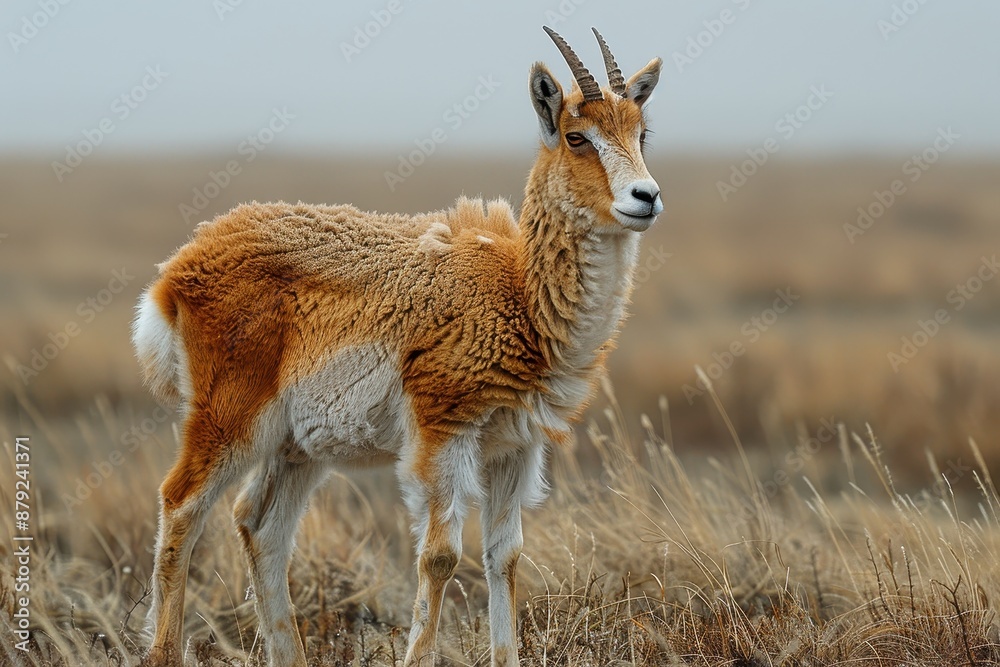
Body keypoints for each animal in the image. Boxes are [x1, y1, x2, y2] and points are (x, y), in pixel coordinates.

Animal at [132, 27, 662, 667]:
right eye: (577, 135)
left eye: (641, 132)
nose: (646, 196)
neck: (516, 290)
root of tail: (182, 263)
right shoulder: (442, 438)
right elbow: (440, 557)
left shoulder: (515, 447)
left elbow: (505, 556)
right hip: (229, 424)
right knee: (181, 503)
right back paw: (163, 650)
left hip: (295, 448)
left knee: (260, 526)